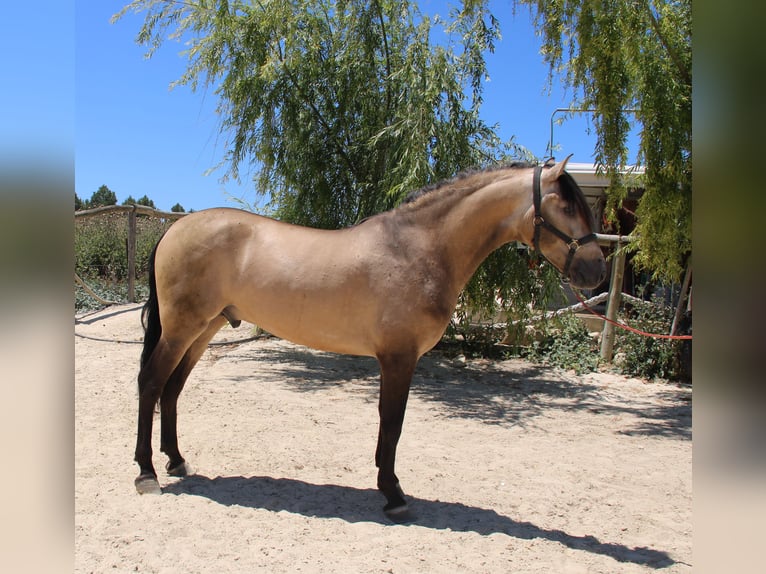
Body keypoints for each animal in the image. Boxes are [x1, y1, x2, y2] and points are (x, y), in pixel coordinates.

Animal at [135, 156, 608, 516]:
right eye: (567, 207)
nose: (597, 272)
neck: (420, 248)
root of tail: (175, 229)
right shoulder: (399, 357)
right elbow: (392, 421)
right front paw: (393, 493)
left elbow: (389, 423)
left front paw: (387, 486)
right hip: (182, 328)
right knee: (152, 383)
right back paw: (147, 472)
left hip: (203, 328)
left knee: (172, 389)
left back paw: (176, 460)